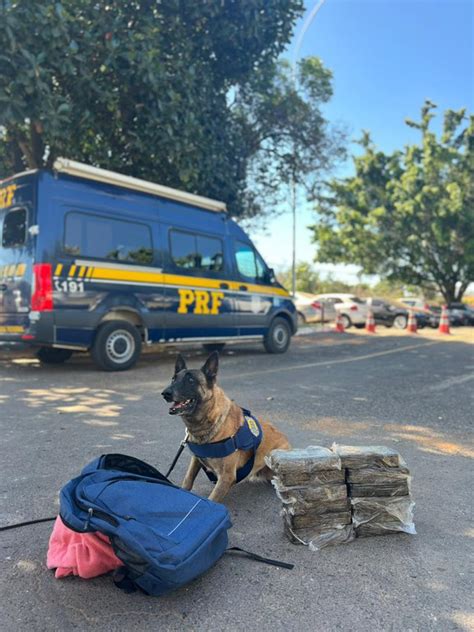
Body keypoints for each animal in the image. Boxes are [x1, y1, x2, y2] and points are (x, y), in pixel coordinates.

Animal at [162, 350, 288, 504]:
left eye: (191, 380)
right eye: (173, 379)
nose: (165, 393)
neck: (210, 423)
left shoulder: (226, 477)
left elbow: (211, 501)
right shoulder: (196, 460)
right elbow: (188, 479)